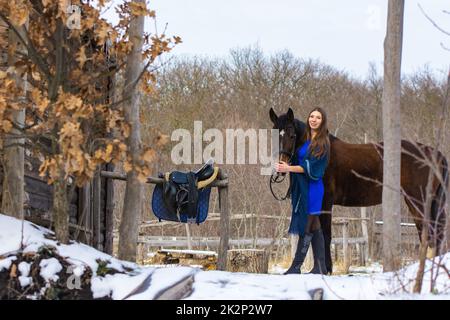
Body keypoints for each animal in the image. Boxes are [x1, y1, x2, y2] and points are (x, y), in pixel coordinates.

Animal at [268, 109, 448, 274]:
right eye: (274, 134)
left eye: (292, 135)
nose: (281, 166)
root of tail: (436, 154)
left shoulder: (325, 203)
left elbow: (326, 234)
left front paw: (326, 269)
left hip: (417, 201)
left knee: (428, 233)